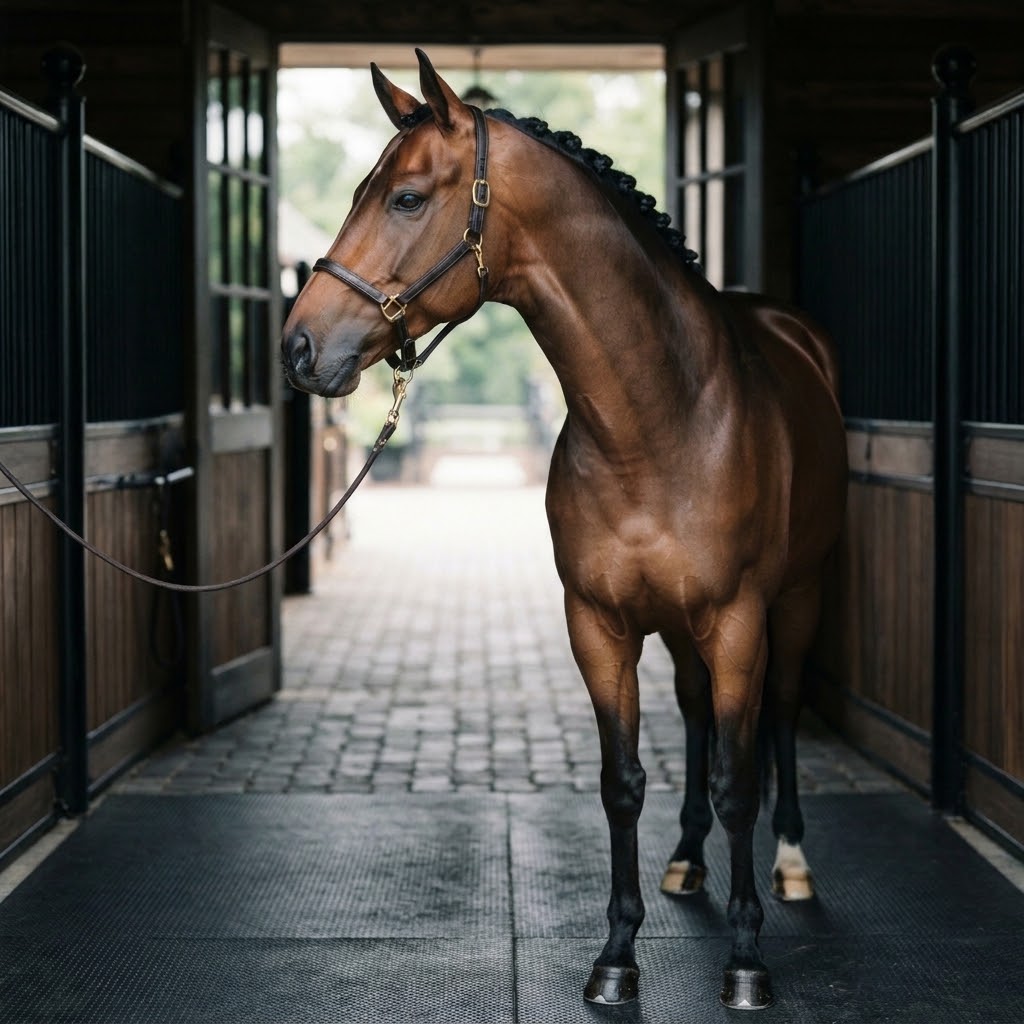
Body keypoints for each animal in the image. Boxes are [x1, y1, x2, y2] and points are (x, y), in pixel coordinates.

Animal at [281, 50, 848, 1011]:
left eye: (406, 198)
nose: (299, 347)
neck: (661, 421)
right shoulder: (600, 625)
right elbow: (623, 783)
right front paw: (616, 956)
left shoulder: (738, 621)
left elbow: (740, 782)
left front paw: (745, 960)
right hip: (681, 633)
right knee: (694, 714)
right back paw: (686, 862)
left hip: (794, 602)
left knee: (775, 716)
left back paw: (796, 865)